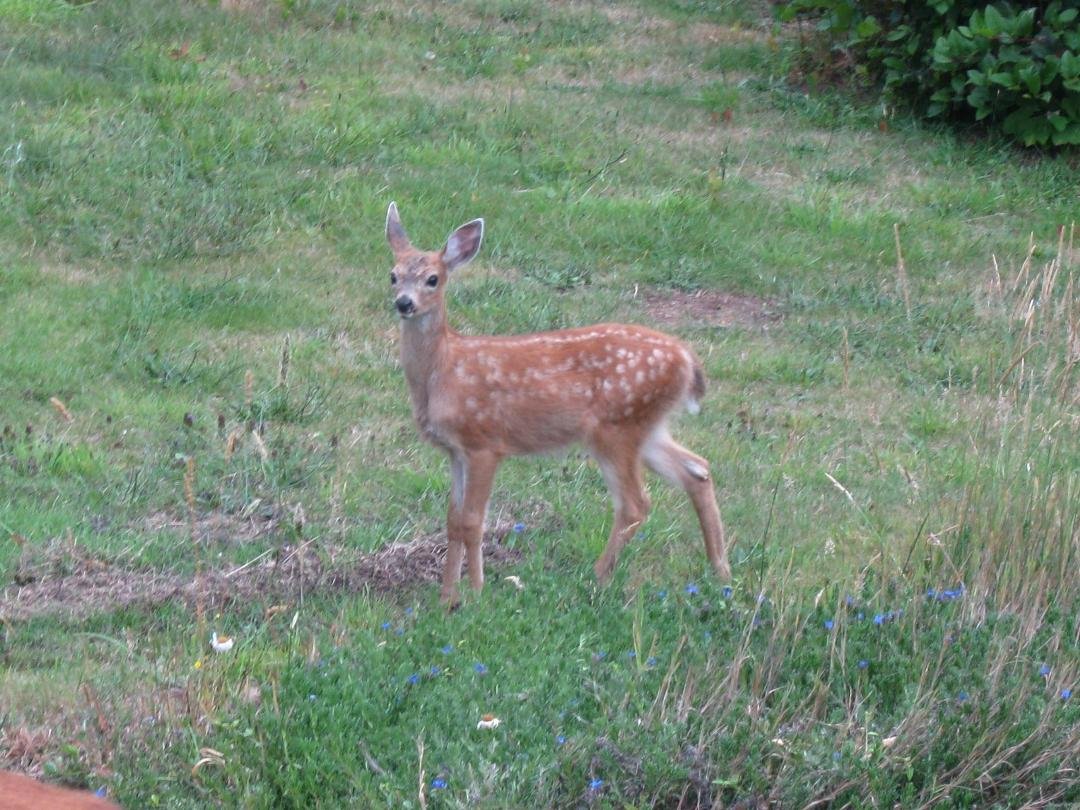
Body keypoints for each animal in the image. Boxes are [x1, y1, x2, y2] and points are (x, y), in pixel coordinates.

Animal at [385, 202, 731, 605]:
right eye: (393, 276)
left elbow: (472, 521)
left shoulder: (485, 442)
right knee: (697, 469)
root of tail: (688, 359)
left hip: (616, 427)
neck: (444, 371)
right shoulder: (455, 451)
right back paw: (720, 570)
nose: (404, 303)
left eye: (432, 279)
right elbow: (453, 521)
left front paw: (476, 593)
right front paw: (446, 599)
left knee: (636, 504)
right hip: (647, 427)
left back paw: (597, 578)